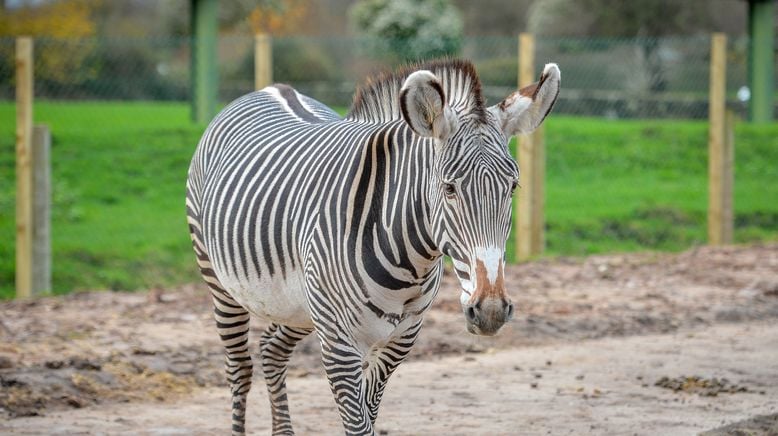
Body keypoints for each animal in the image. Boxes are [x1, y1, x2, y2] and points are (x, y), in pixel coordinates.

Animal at [186, 58, 556, 436]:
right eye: (449, 188)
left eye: (513, 187)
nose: (491, 310)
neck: (407, 261)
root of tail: (272, 88)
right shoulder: (339, 345)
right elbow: (358, 424)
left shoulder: (400, 340)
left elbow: (370, 415)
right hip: (221, 285)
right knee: (239, 370)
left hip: (299, 305)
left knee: (272, 350)